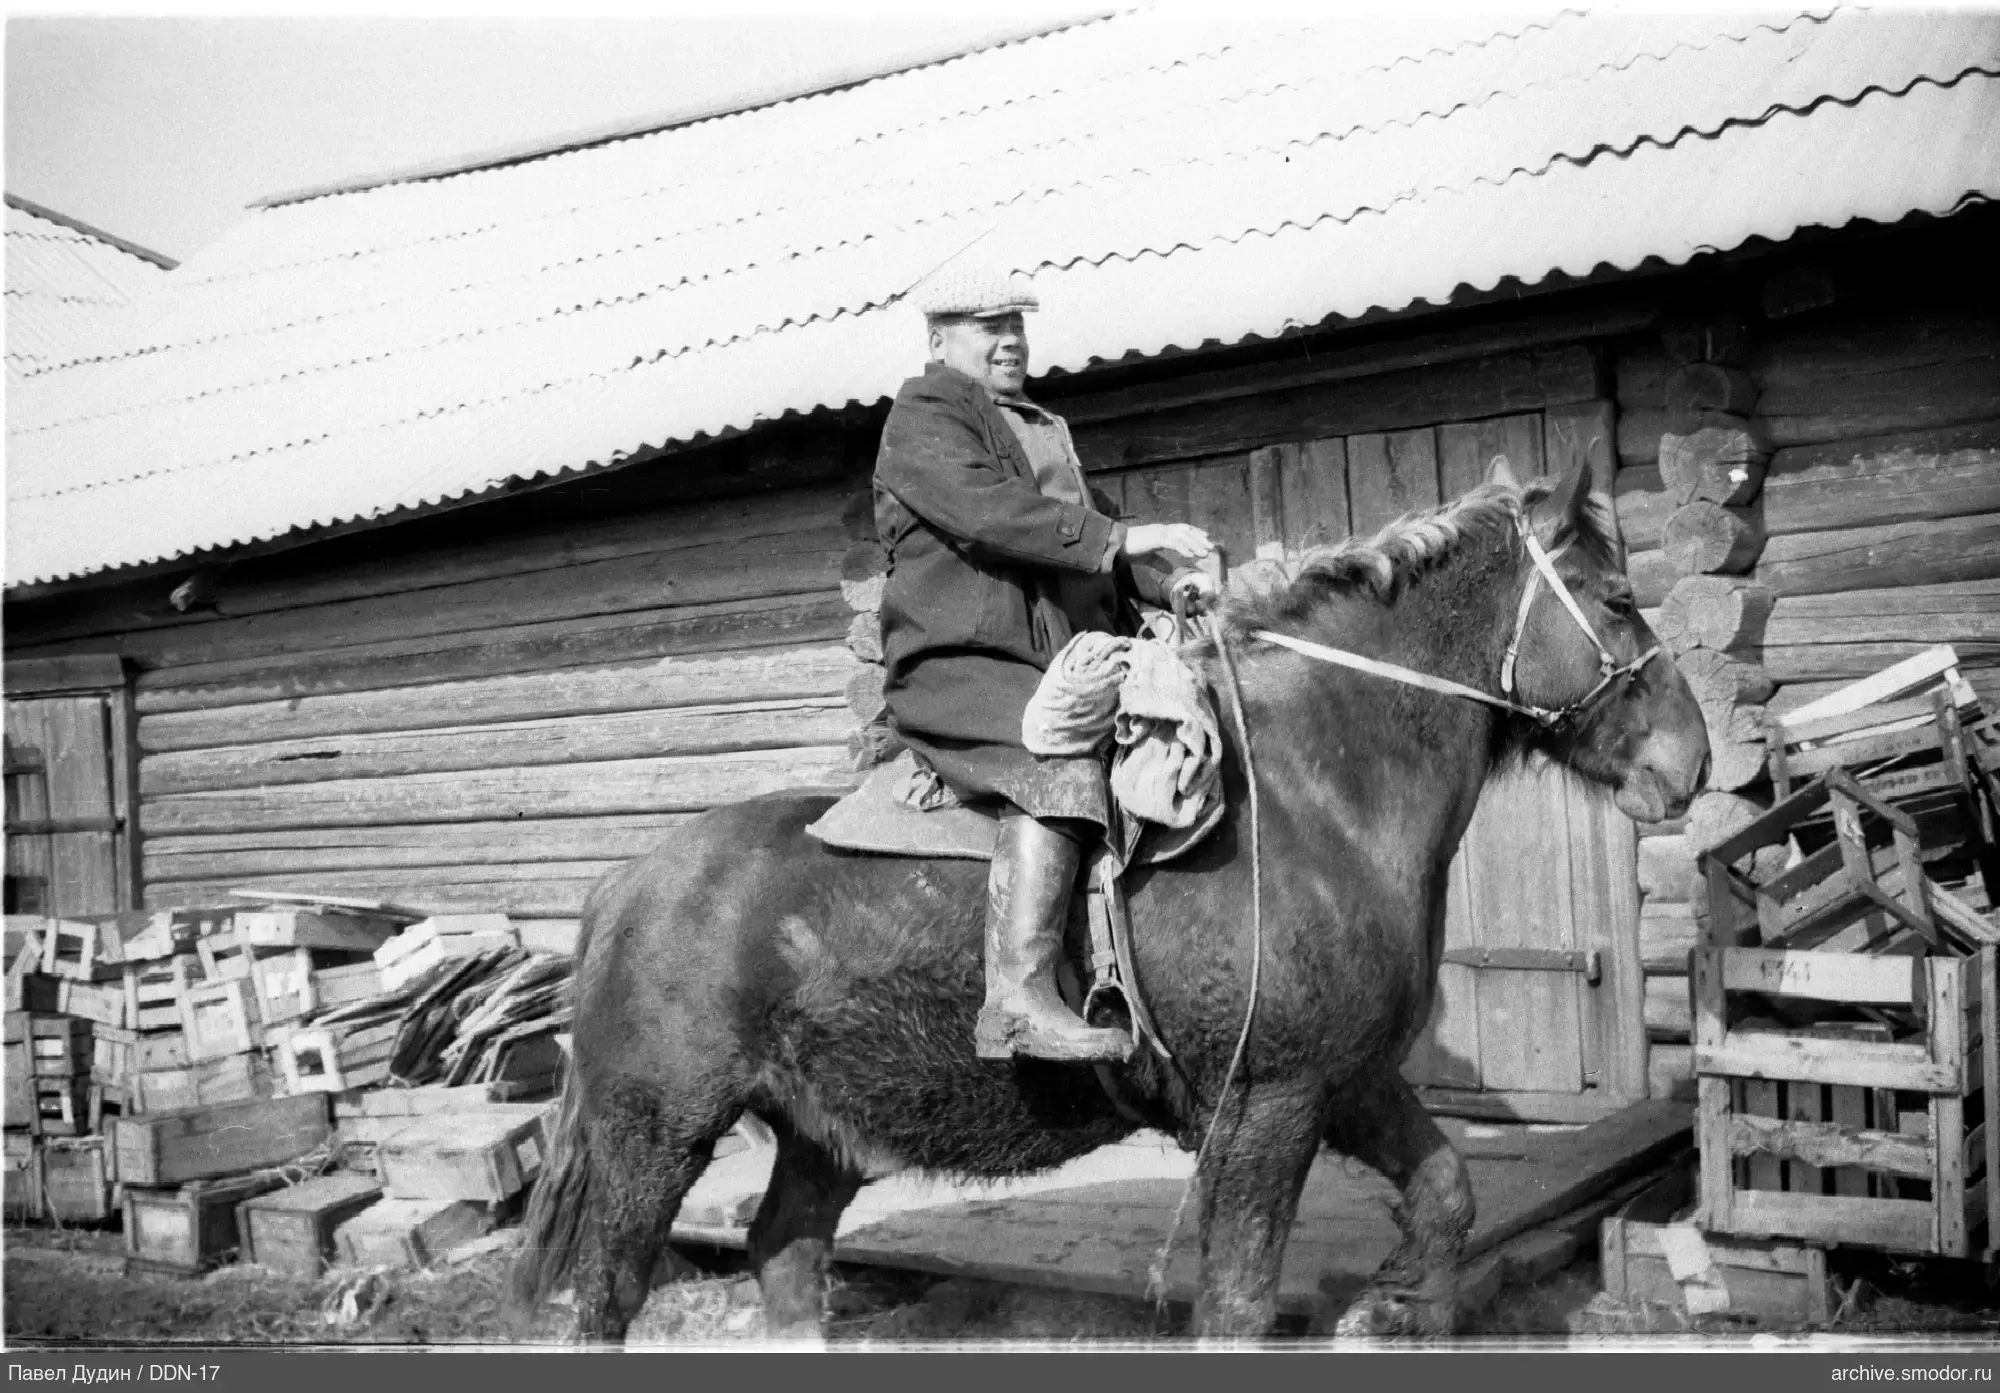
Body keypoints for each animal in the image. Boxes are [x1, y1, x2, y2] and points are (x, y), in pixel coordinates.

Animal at [511, 457, 1710, 1342]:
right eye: (1615, 597)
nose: (1688, 760)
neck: (1314, 794)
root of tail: (623, 887)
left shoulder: (1350, 1081)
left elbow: (1448, 1192)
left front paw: (1393, 1306)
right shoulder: (1264, 1110)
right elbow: (1237, 1306)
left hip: (818, 1132)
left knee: (788, 1257)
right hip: (655, 1133)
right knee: (609, 1294)